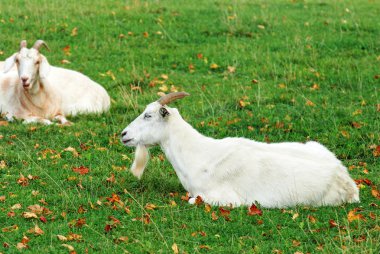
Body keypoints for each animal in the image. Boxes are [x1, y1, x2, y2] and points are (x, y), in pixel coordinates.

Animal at [121, 92, 360, 207]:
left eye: (148, 115)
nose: (123, 134)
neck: (199, 155)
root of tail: (348, 182)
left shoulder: (225, 198)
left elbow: (192, 200)